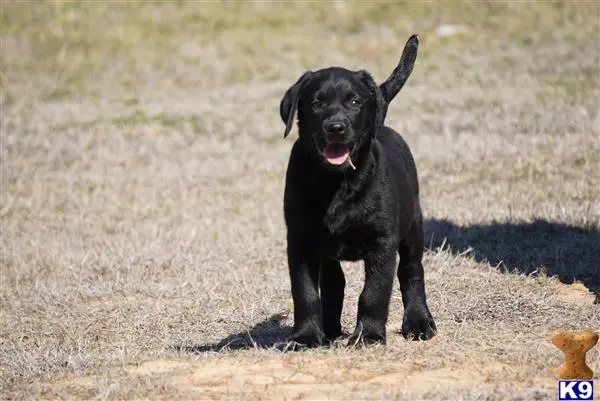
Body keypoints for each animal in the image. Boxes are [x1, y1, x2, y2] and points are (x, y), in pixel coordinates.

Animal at [279, 34, 436, 347]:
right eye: (316, 103)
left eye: (354, 101)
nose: (336, 127)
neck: (335, 182)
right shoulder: (300, 240)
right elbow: (305, 292)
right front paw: (306, 336)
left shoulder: (382, 241)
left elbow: (374, 291)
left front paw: (369, 335)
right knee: (334, 282)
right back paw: (328, 329)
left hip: (413, 225)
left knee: (412, 272)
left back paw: (418, 321)